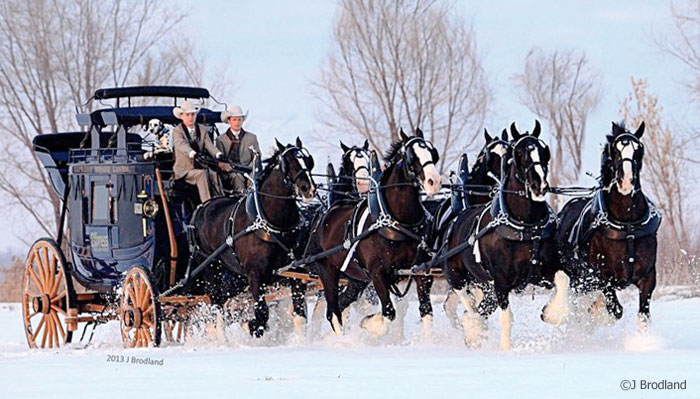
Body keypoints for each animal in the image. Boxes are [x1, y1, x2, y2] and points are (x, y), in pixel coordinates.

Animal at [187, 138, 316, 338]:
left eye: (308, 161)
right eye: (288, 162)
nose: (308, 188)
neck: (272, 225)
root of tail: (200, 208)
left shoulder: (295, 272)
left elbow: (299, 315)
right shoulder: (255, 275)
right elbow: (262, 313)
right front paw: (250, 326)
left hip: (235, 275)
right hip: (210, 268)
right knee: (216, 305)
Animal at [308, 130, 440, 336]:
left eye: (433, 153)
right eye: (412, 156)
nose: (434, 182)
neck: (397, 223)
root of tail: (322, 218)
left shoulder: (421, 272)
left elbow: (426, 312)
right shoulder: (378, 273)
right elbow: (388, 312)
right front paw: (367, 324)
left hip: (356, 279)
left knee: (342, 304)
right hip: (327, 271)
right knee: (333, 312)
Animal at [442, 122, 556, 350]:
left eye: (544, 150)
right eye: (518, 153)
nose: (539, 185)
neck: (524, 227)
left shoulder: (545, 272)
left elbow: (563, 282)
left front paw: (554, 312)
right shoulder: (501, 282)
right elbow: (506, 318)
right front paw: (506, 348)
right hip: (456, 275)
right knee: (468, 306)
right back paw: (473, 331)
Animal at [552, 122, 660, 332]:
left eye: (639, 149)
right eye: (615, 151)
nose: (626, 182)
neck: (627, 226)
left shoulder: (648, 276)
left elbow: (643, 316)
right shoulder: (601, 277)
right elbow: (615, 310)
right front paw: (598, 314)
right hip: (579, 281)